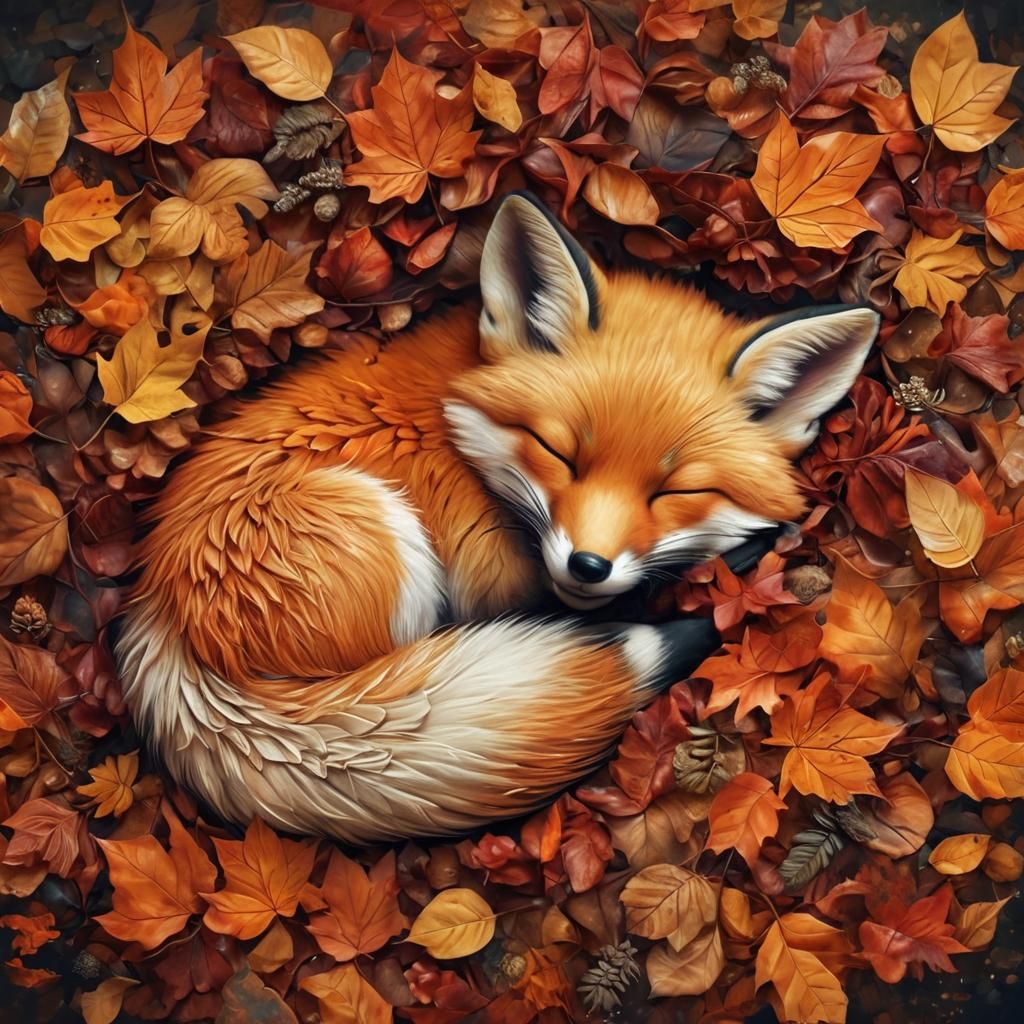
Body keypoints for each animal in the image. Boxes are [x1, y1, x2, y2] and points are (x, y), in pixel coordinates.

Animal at [116, 192, 879, 844]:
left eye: (674, 491)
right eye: (560, 453)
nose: (588, 566)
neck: (456, 430)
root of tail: (160, 602)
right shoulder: (484, 577)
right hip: (385, 548)